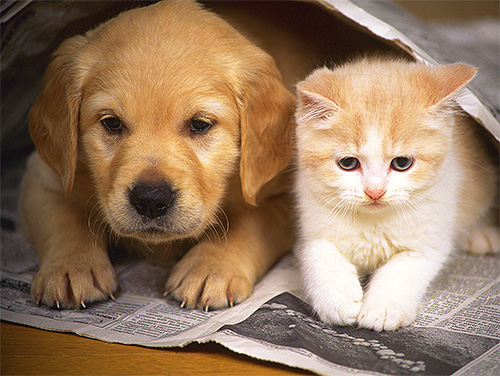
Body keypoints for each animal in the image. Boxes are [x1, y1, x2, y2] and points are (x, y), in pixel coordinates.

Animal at [19, 0, 294, 310]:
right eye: (111, 123)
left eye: (200, 124)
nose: (151, 200)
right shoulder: (41, 178)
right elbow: (63, 219)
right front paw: (70, 267)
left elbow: (252, 222)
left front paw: (211, 267)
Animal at [294, 57, 498, 330]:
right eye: (348, 163)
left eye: (402, 163)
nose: (375, 191)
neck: (373, 222)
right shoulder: (308, 217)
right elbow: (317, 251)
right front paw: (336, 297)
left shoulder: (431, 240)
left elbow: (403, 269)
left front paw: (383, 307)